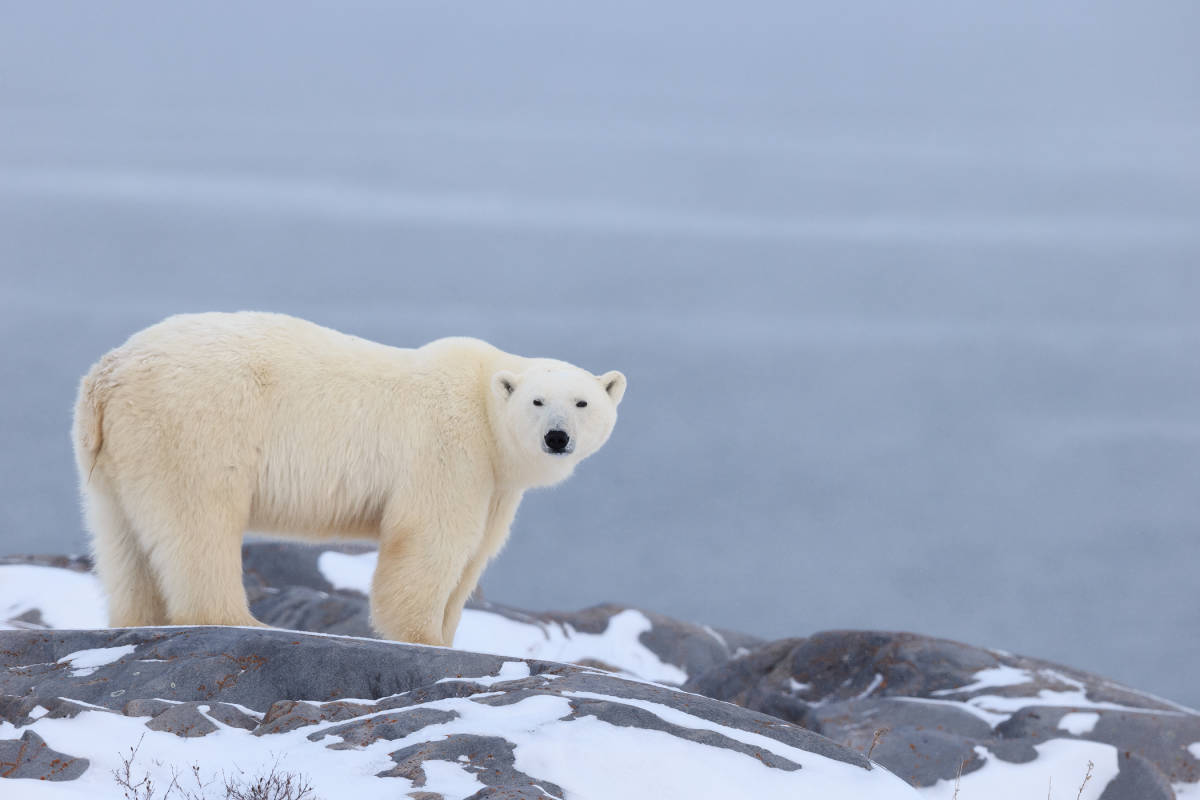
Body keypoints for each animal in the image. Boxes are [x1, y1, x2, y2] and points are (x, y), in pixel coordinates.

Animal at [72, 309, 628, 647]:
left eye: (582, 402)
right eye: (537, 401)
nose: (557, 436)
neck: (484, 406)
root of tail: (108, 371)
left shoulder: (495, 484)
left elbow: (474, 555)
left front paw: (448, 635)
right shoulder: (449, 449)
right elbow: (431, 541)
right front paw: (422, 638)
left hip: (115, 455)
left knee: (123, 541)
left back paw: (137, 618)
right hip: (197, 423)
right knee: (200, 522)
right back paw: (237, 618)